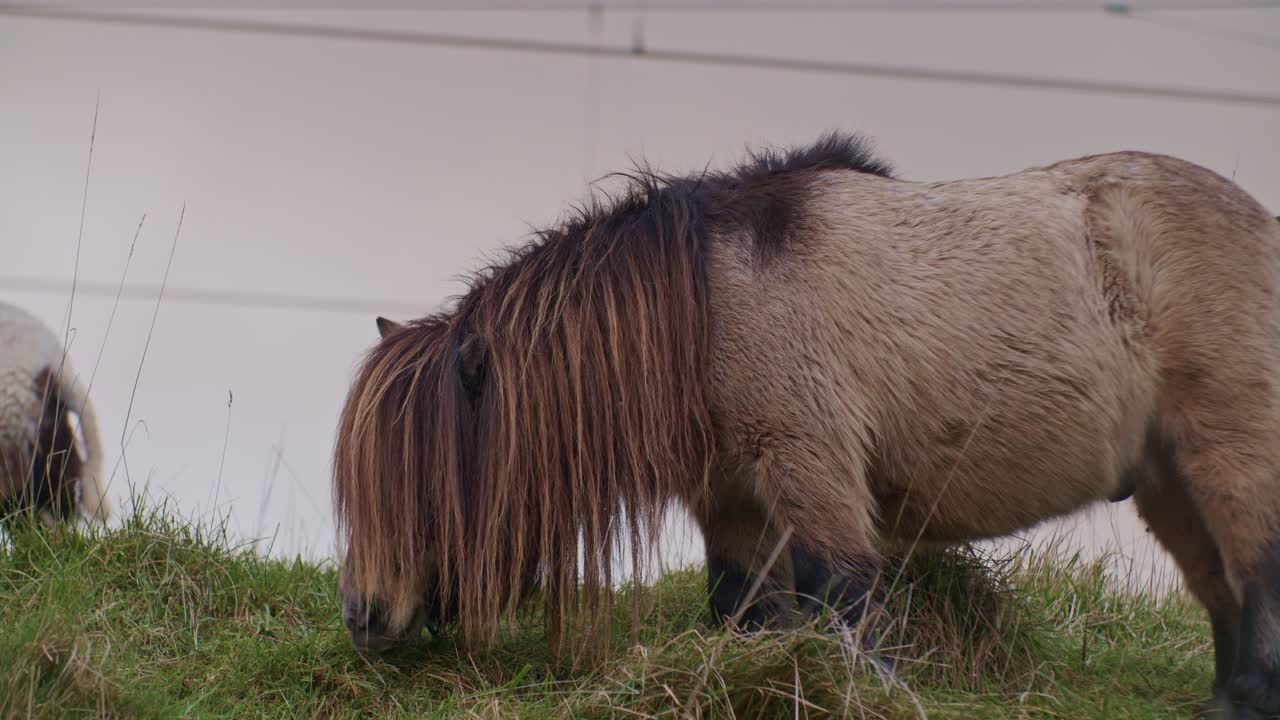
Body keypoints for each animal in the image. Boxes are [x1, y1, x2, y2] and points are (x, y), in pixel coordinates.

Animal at [333, 132, 1280, 717]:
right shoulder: (734, 504)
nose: (362, 617)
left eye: (421, 481)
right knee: (1220, 588)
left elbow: (845, 602)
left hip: (1228, 452)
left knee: (1256, 571)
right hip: (1167, 482)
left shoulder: (810, 469)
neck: (713, 305)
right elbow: (747, 612)